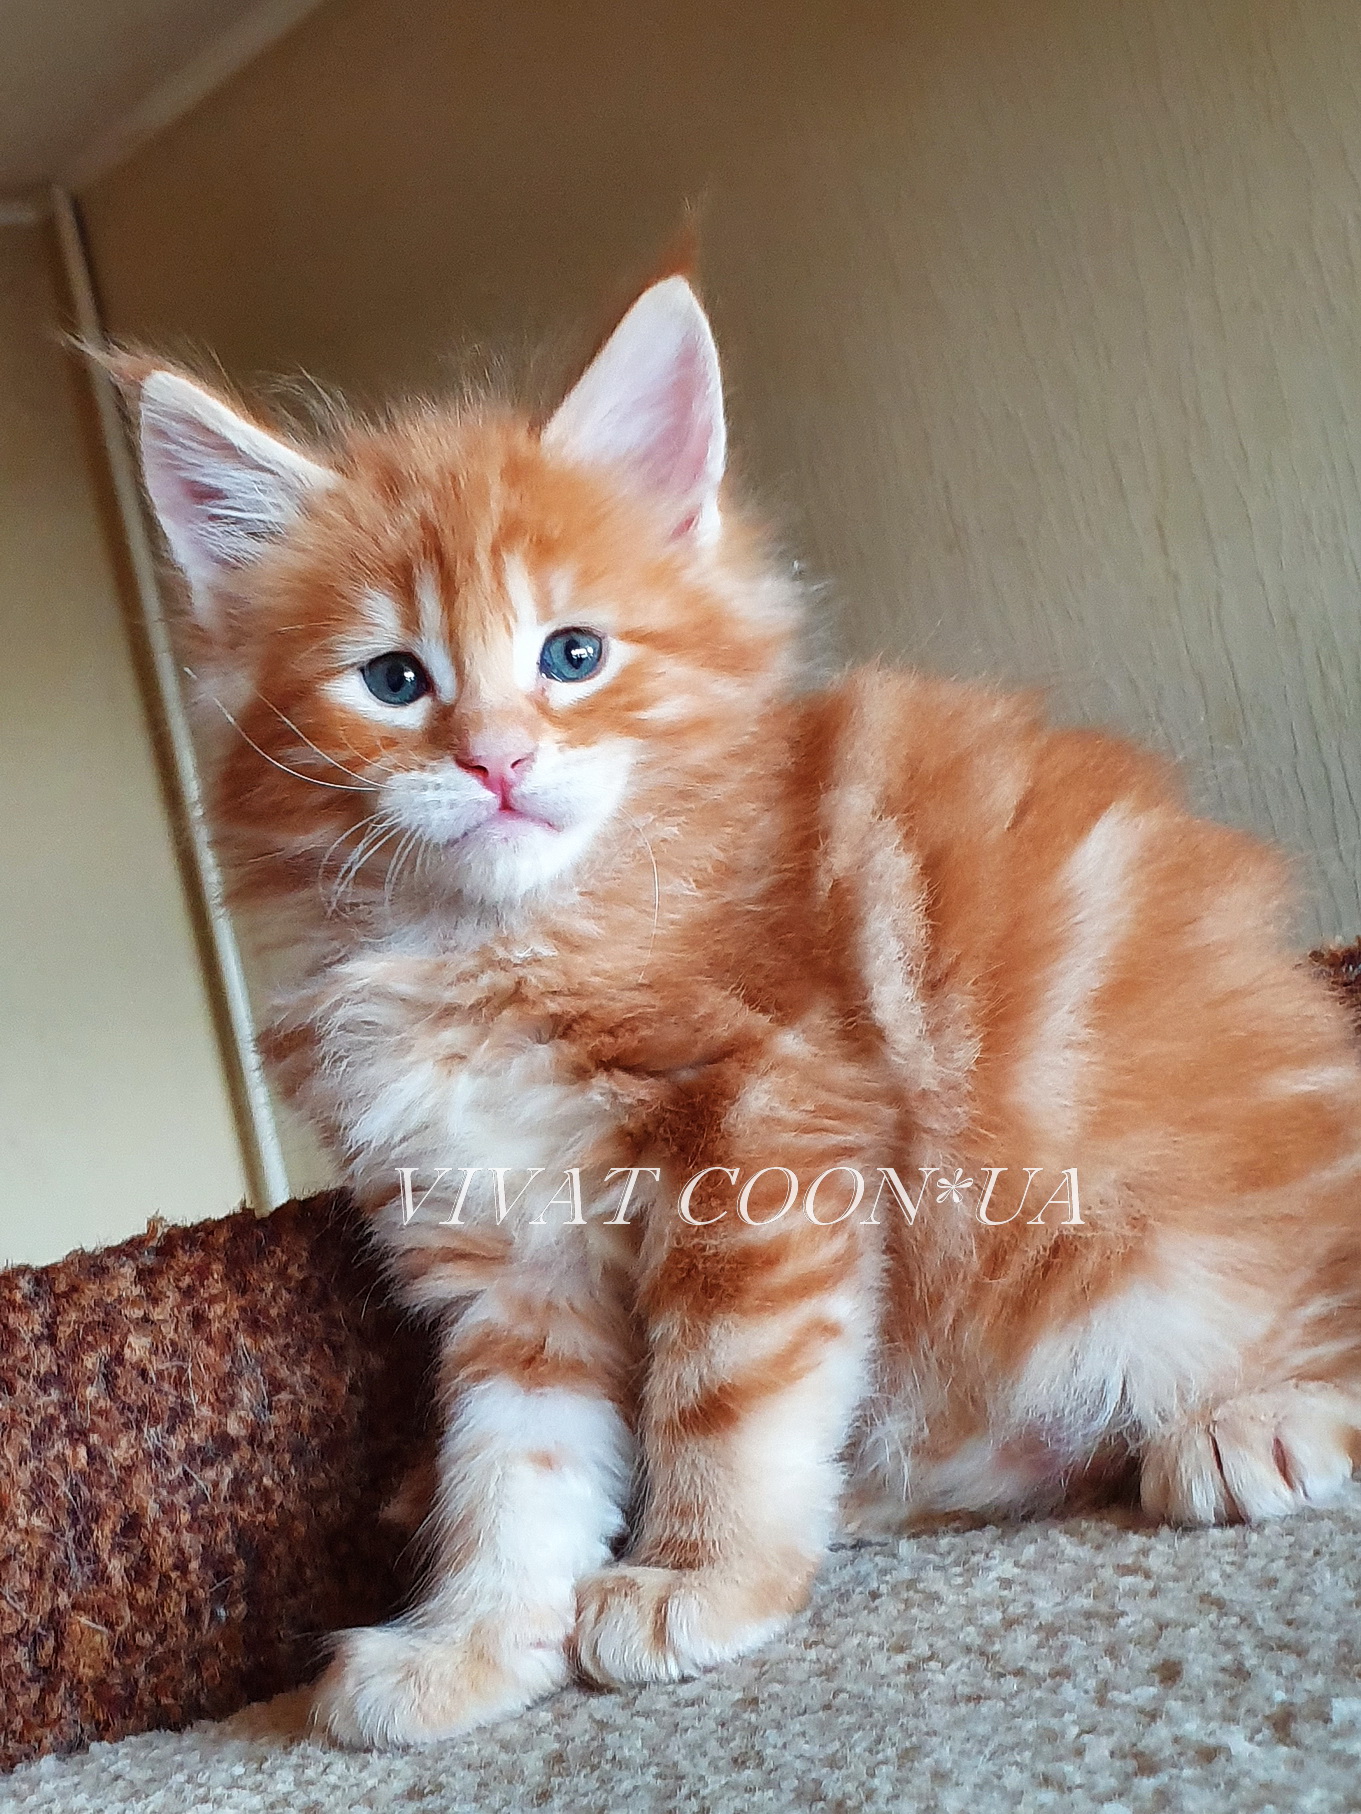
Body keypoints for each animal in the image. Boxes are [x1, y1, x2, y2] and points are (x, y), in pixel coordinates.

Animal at [129, 273, 1361, 1748]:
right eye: (393, 680)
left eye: (573, 653)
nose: (496, 760)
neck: (500, 942)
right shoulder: (501, 1248)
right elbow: (514, 1464)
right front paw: (476, 1639)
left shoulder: (771, 1128)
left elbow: (725, 1390)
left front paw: (699, 1576)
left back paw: (1258, 1421)